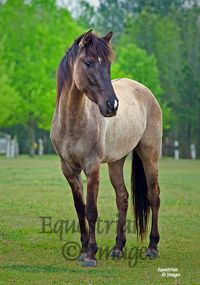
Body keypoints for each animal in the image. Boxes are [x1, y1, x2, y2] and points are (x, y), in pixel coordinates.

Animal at [50, 30, 162, 266]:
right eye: (89, 63)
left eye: (108, 65)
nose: (112, 105)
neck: (72, 122)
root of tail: (146, 91)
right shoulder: (69, 169)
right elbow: (80, 208)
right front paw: (84, 250)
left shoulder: (92, 167)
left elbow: (92, 210)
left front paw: (91, 255)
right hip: (116, 162)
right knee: (123, 198)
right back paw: (118, 248)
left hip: (150, 156)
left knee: (153, 196)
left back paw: (152, 247)